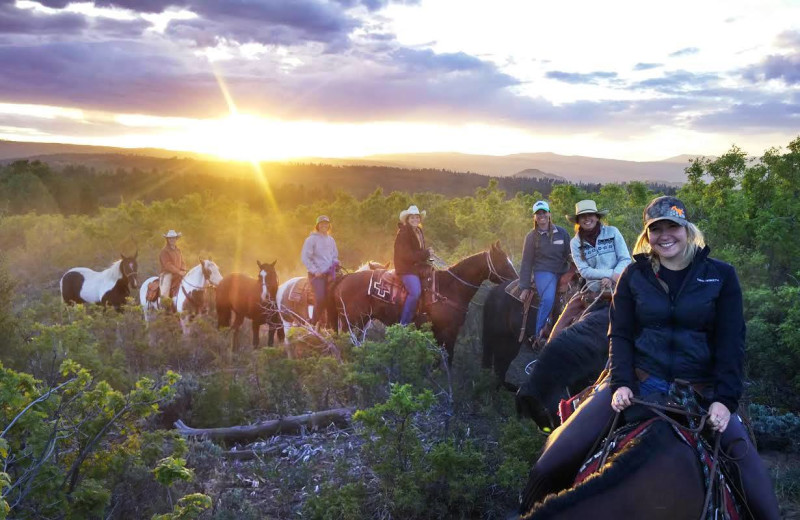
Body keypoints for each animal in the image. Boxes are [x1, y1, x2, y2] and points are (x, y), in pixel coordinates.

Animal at [328, 240, 516, 362]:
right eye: (503, 262)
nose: (516, 280)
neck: (450, 287)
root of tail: (344, 279)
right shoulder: (447, 331)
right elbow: (445, 360)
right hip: (352, 322)